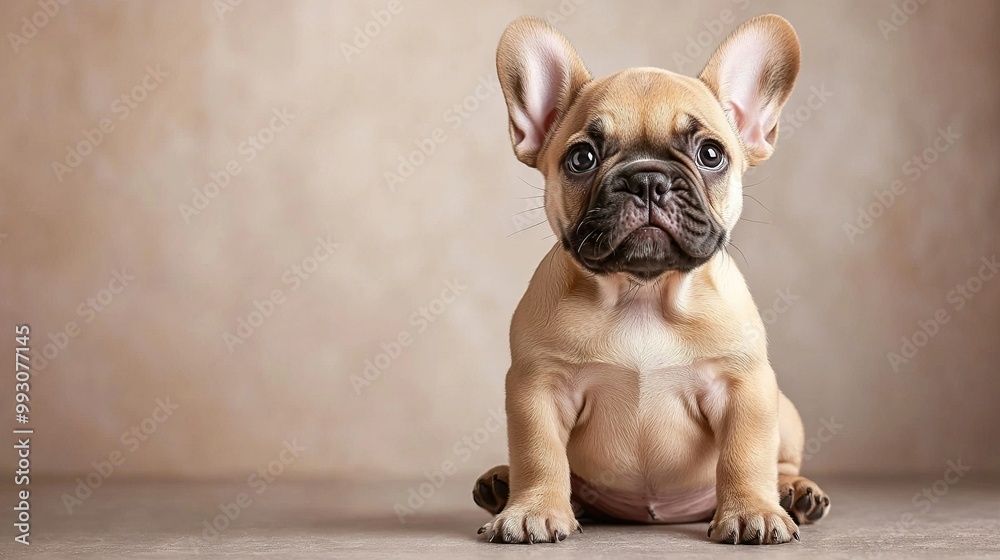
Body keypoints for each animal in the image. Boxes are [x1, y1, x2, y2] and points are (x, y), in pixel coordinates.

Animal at [472, 15, 832, 544]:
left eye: (710, 154)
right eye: (582, 158)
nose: (646, 179)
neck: (642, 293)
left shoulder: (745, 386)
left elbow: (745, 455)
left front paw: (753, 511)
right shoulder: (538, 388)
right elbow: (539, 455)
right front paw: (532, 509)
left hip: (783, 411)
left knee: (780, 460)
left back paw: (794, 492)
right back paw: (503, 484)